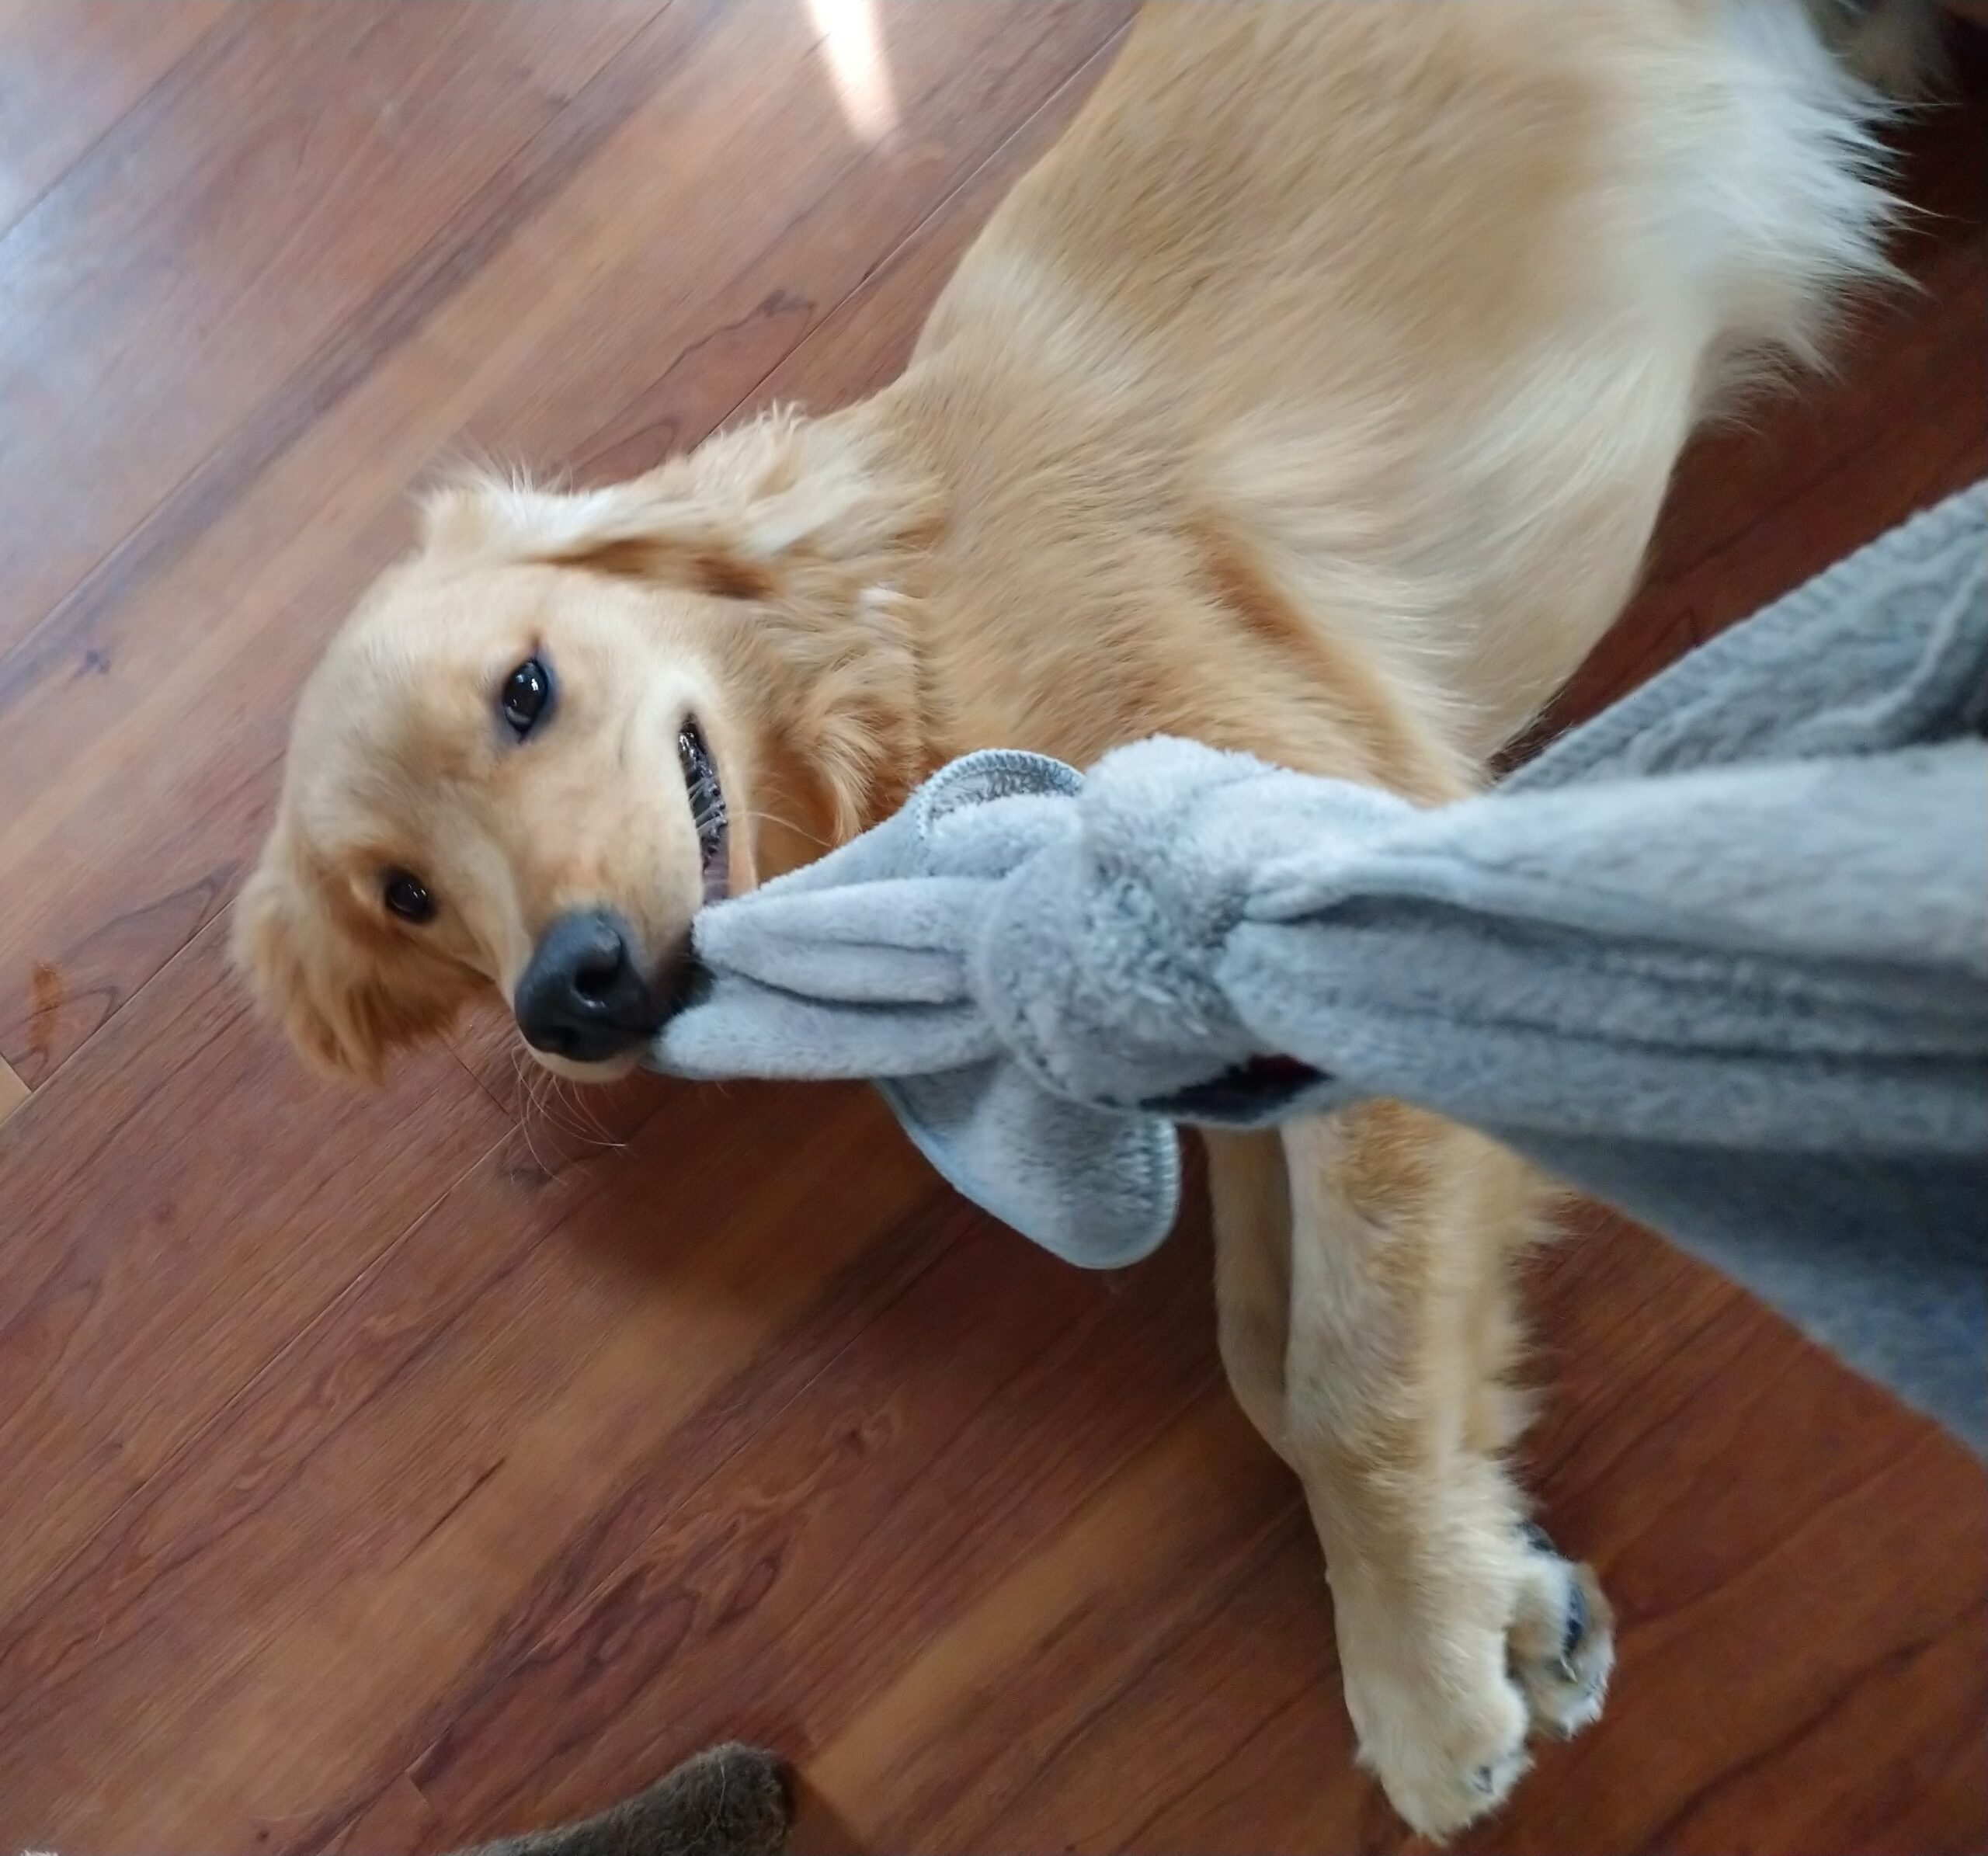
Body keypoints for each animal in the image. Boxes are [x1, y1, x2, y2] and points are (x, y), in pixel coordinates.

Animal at [239, 3, 1915, 1835]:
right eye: (405, 897)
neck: (898, 652)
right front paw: (1503, 1583)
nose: (569, 996)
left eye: (526, 691)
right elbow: (1270, 1354)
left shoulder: (1344, 870)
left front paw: (1411, 1661)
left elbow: (1338, 1369)